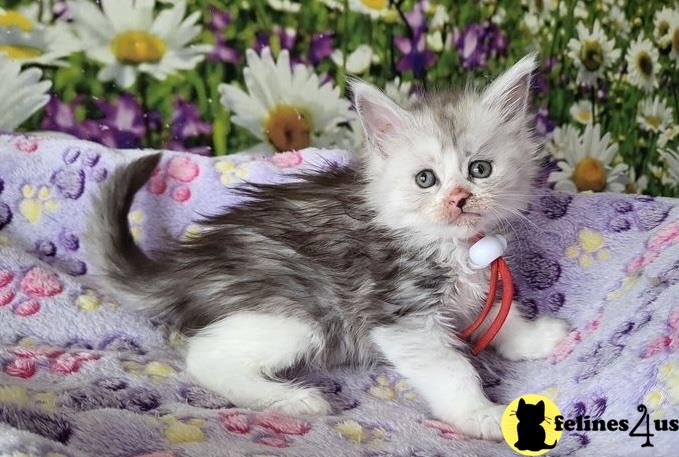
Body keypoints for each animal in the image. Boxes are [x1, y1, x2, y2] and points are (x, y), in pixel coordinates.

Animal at [87, 53, 572, 438]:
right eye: (425, 179)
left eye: (480, 169)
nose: (458, 198)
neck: (451, 246)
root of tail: (188, 262)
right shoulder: (402, 314)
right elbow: (451, 369)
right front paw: (480, 415)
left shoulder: (481, 276)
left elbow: (502, 312)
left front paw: (533, 337)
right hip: (299, 313)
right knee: (204, 357)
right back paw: (292, 400)